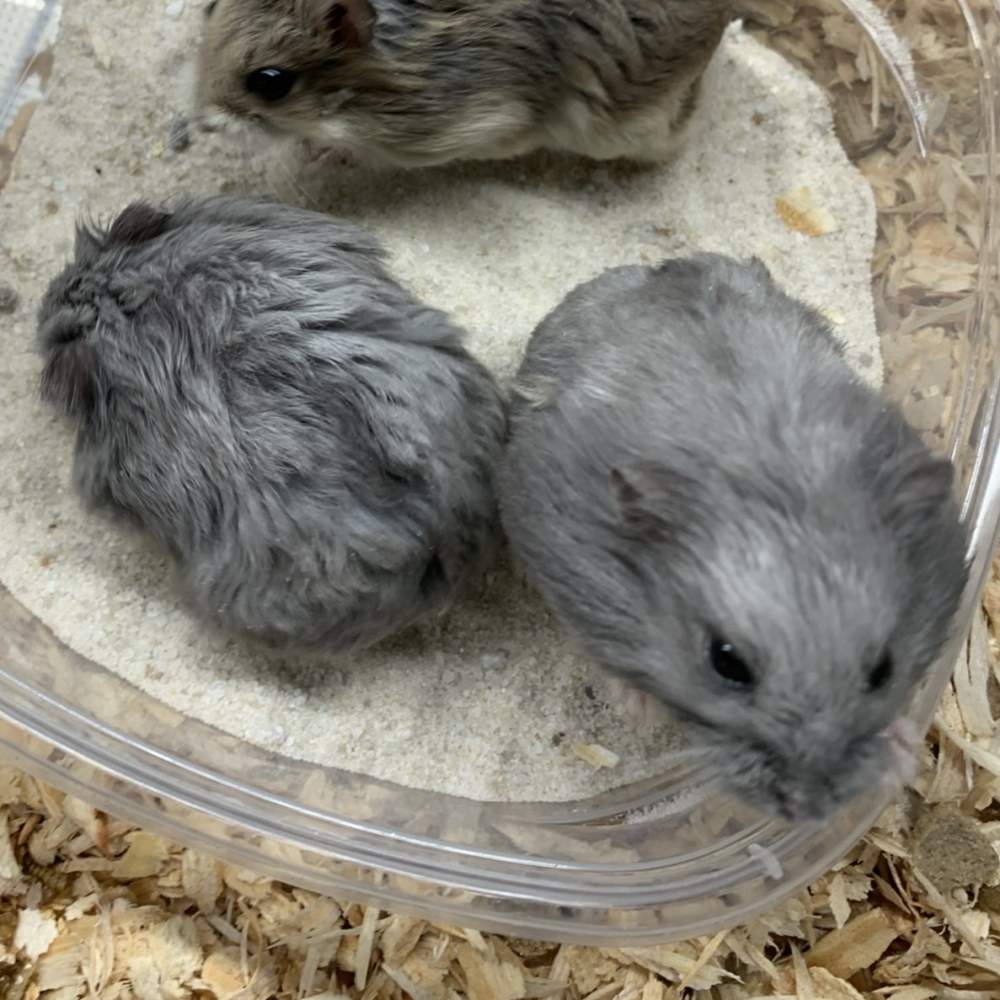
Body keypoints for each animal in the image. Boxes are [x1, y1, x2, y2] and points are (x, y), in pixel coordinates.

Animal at [500, 254, 968, 821]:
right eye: (726, 664)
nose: (806, 811)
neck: (775, 484)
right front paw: (639, 706)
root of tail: (663, 268)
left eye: (884, 670)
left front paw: (900, 751)